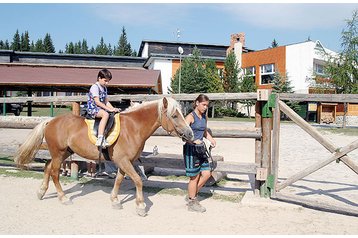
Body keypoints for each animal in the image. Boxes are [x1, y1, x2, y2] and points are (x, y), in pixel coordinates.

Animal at [14, 96, 193, 216]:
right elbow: (138, 180)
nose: (190, 133)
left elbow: (119, 180)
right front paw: (141, 206)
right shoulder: (124, 161)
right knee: (54, 173)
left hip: (64, 152)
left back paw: (41, 192)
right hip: (58, 153)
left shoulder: (124, 162)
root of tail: (50, 121)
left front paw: (115, 201)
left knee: (47, 166)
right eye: (175, 115)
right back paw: (63, 198)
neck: (133, 128)